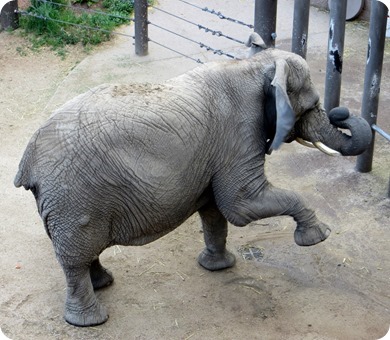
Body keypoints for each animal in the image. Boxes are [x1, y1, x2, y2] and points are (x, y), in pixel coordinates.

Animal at [12, 46, 372, 326]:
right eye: (310, 106)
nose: (341, 112)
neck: (253, 64)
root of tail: (28, 160)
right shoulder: (239, 133)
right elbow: (240, 206)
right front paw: (318, 237)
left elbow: (215, 212)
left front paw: (218, 267)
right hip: (74, 195)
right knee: (75, 258)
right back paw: (90, 320)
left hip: (74, 198)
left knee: (83, 250)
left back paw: (103, 283)